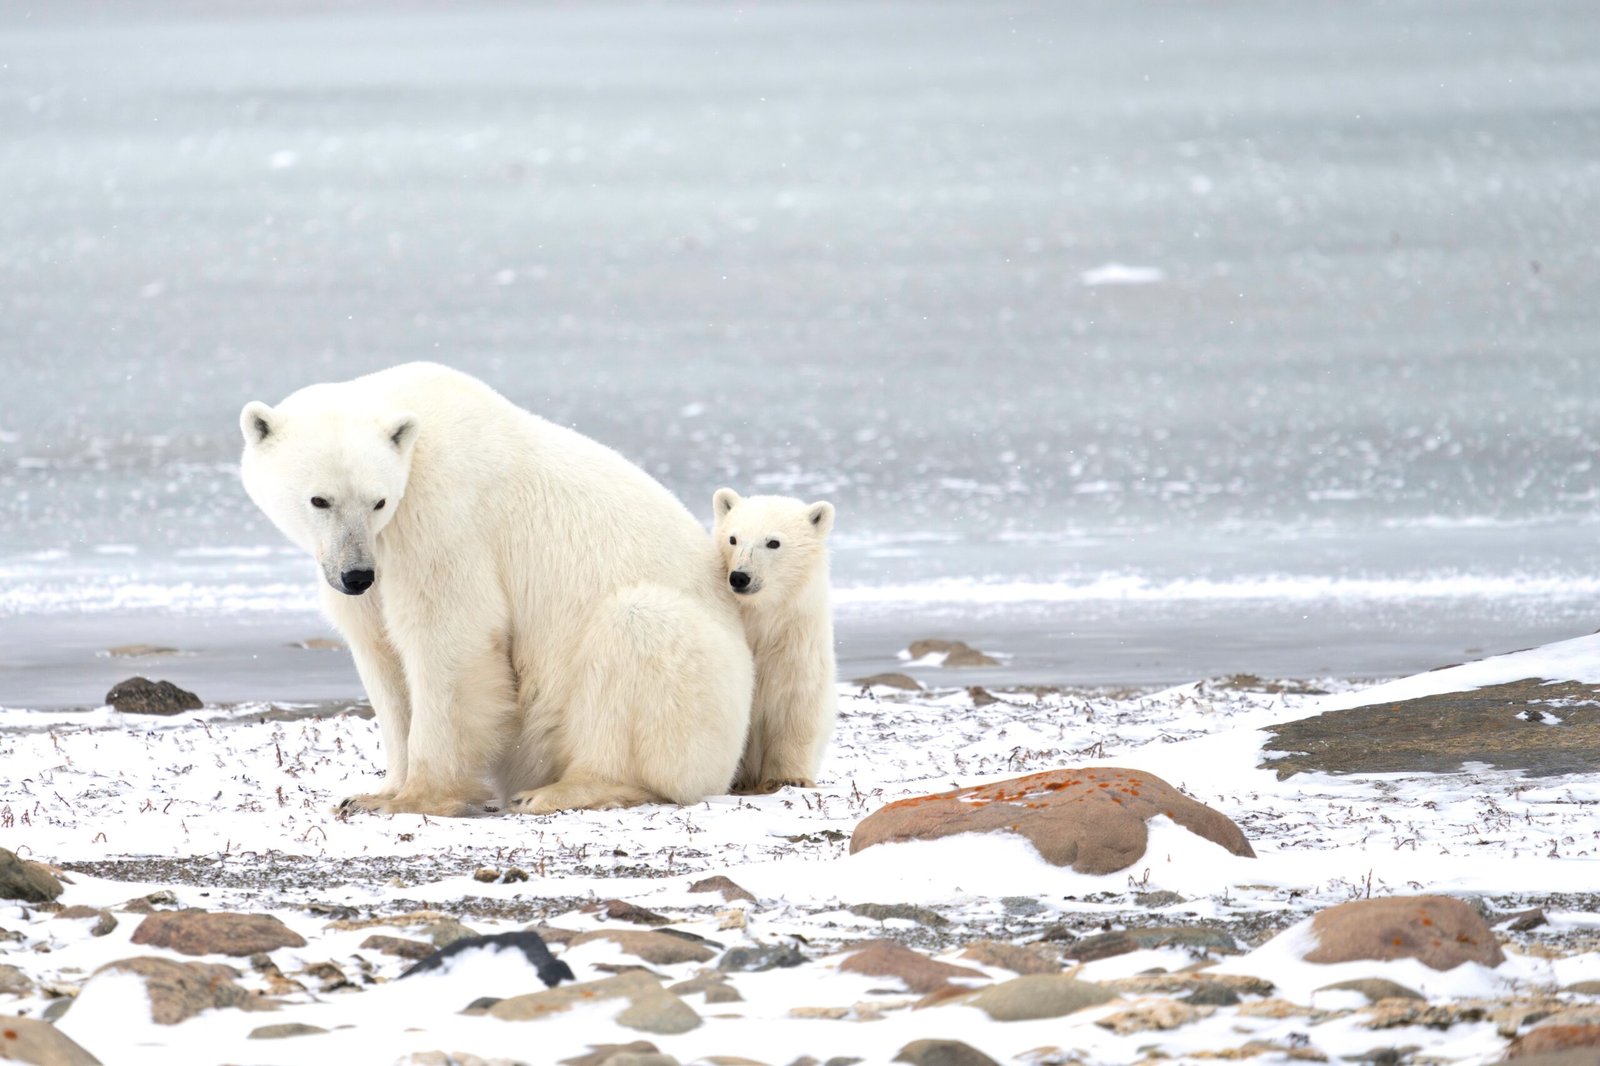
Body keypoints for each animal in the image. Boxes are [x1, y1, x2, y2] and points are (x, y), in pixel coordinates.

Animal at [238, 362, 754, 816]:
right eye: (319, 500)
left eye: (378, 500)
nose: (356, 575)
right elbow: (381, 653)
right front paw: (371, 794)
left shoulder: (444, 519)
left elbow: (449, 638)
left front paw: (413, 799)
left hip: (701, 691)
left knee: (637, 631)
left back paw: (560, 790)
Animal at [711, 488, 838, 792]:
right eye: (733, 538)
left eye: (773, 542)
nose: (740, 577)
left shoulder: (796, 644)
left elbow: (795, 707)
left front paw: (790, 778)